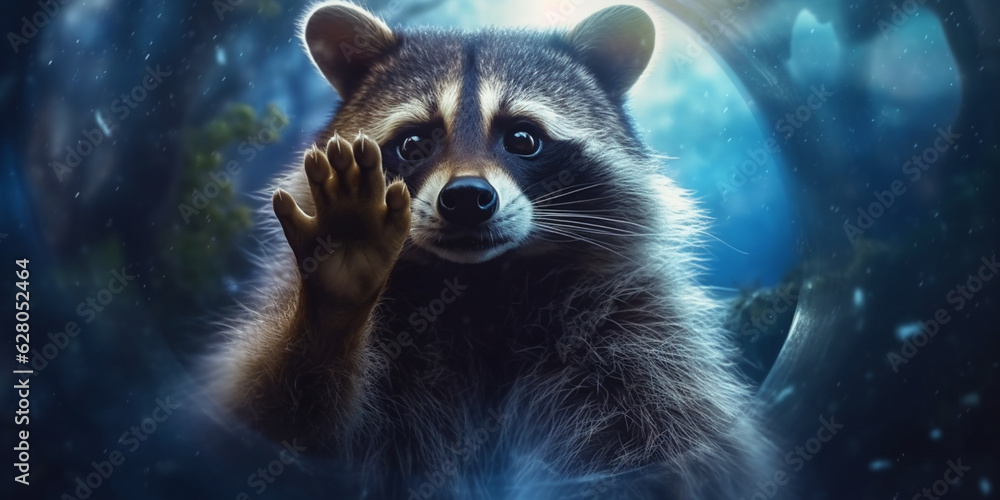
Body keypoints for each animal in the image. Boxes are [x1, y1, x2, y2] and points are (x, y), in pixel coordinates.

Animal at [211, 2, 772, 498]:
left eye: (523, 138)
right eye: (413, 144)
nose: (465, 199)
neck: (479, 288)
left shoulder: (638, 332)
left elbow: (679, 446)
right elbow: (272, 428)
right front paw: (338, 294)